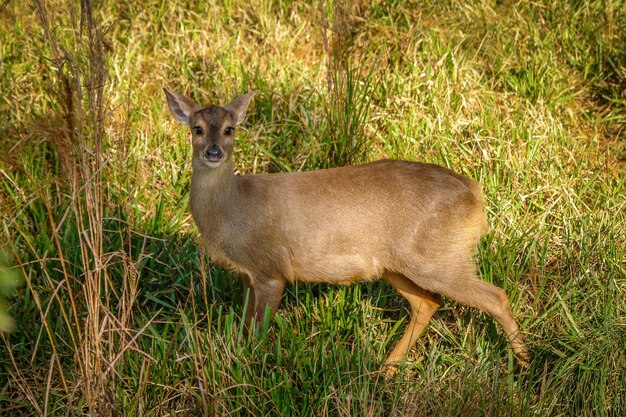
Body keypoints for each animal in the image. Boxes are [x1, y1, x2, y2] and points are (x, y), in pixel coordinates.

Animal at [165, 88, 528, 374]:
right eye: (197, 129)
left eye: (229, 129)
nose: (214, 152)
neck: (234, 209)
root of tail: (476, 196)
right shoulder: (246, 274)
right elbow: (243, 326)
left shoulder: (271, 269)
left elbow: (257, 331)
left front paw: (252, 368)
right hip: (397, 264)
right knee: (428, 303)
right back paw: (386, 369)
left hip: (438, 258)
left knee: (496, 296)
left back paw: (524, 364)